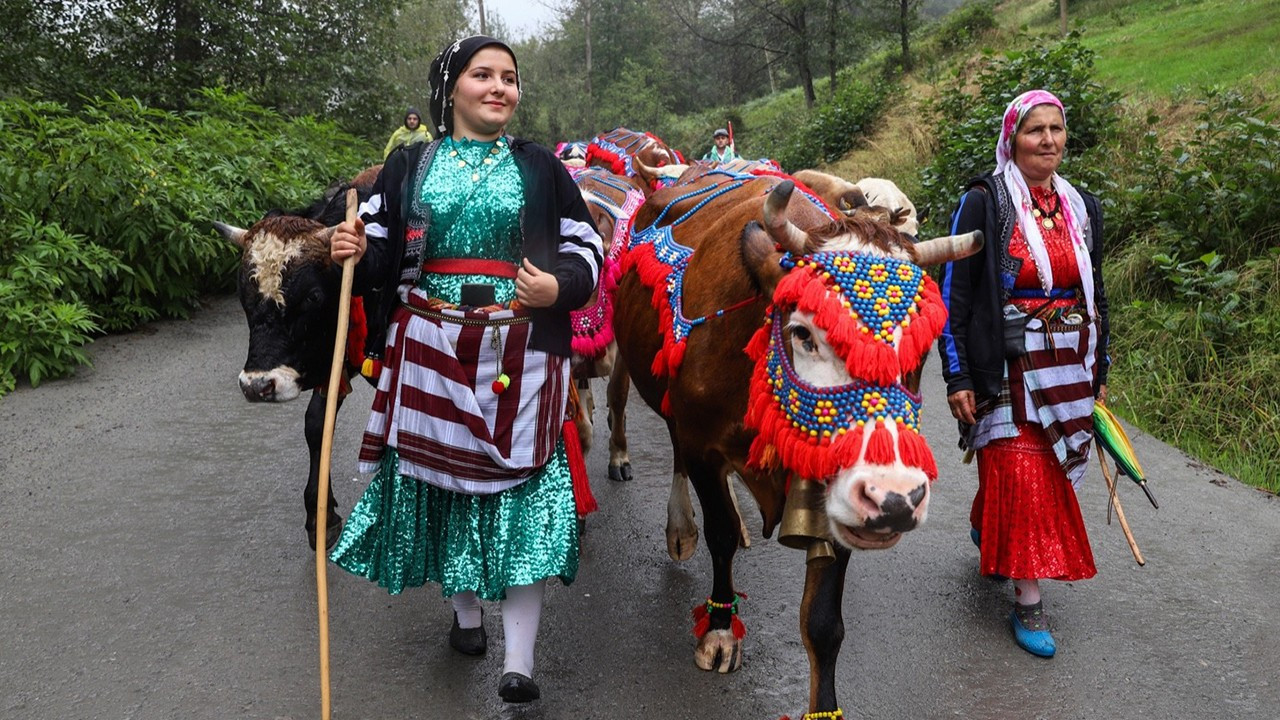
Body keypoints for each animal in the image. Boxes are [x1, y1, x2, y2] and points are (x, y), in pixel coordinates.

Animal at [609, 166, 977, 712]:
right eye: (804, 333)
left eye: (923, 346)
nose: (896, 501)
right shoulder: (702, 443)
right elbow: (719, 534)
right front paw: (719, 629)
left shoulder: (841, 489)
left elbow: (823, 621)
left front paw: (823, 705)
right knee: (675, 453)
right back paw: (682, 529)